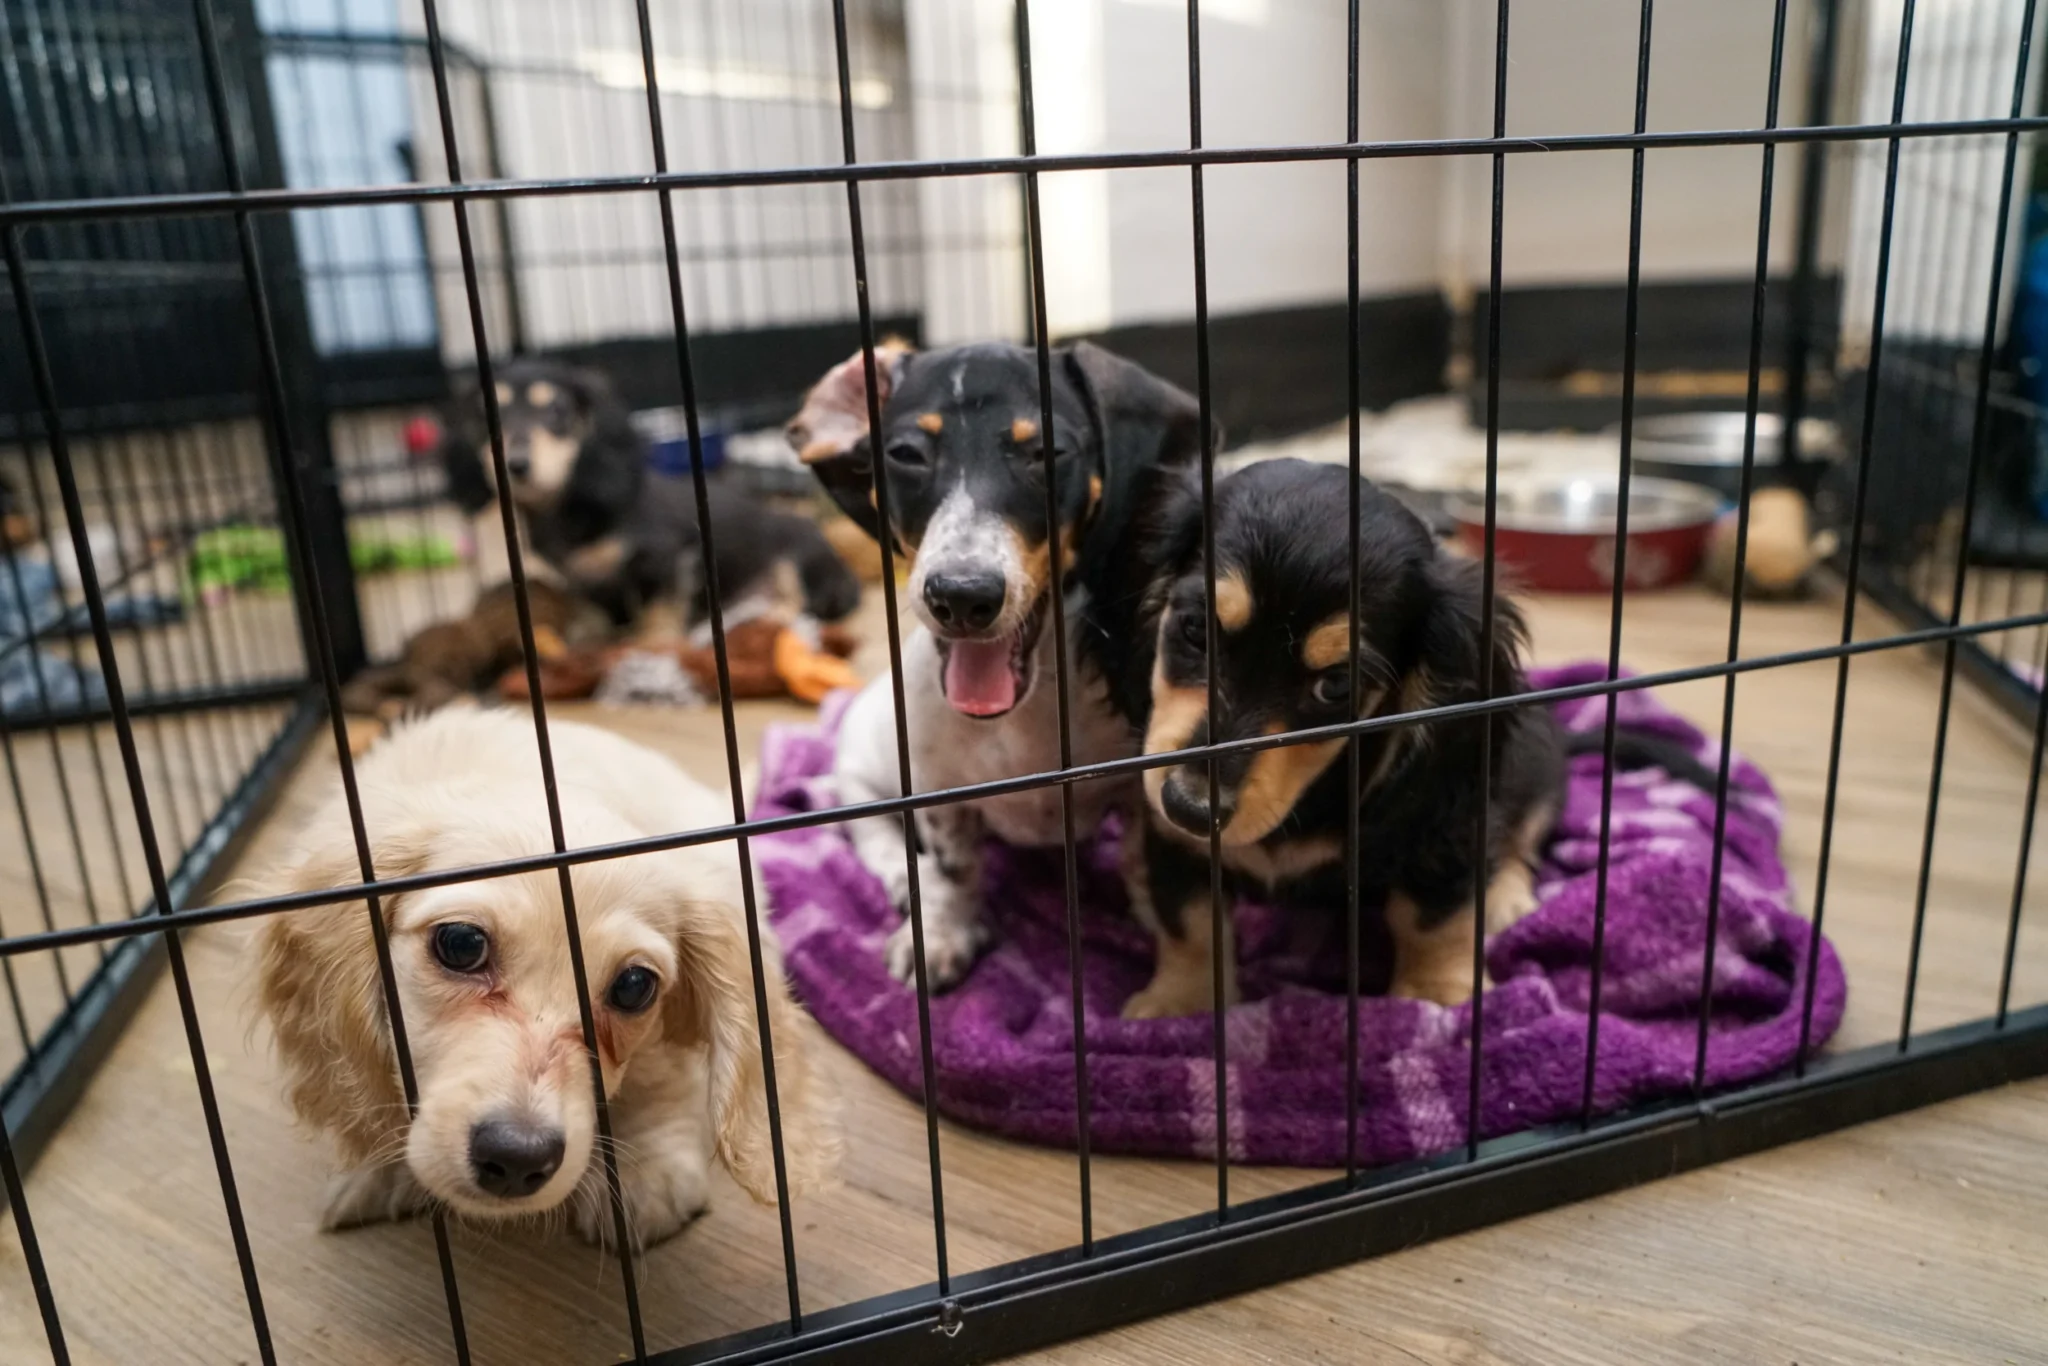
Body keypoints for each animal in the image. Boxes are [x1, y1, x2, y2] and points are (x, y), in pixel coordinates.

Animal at [249, 712, 839, 1253]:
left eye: (633, 986)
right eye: (461, 944)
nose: (515, 1159)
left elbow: (659, 1074)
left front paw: (646, 1172)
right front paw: (376, 1161)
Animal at [1130, 464, 1556, 1019]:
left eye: (1335, 686)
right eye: (1195, 628)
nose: (1189, 807)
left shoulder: (1443, 825)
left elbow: (1433, 915)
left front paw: (1436, 994)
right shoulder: (1174, 841)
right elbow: (1190, 920)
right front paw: (1183, 1003)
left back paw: (1504, 895)